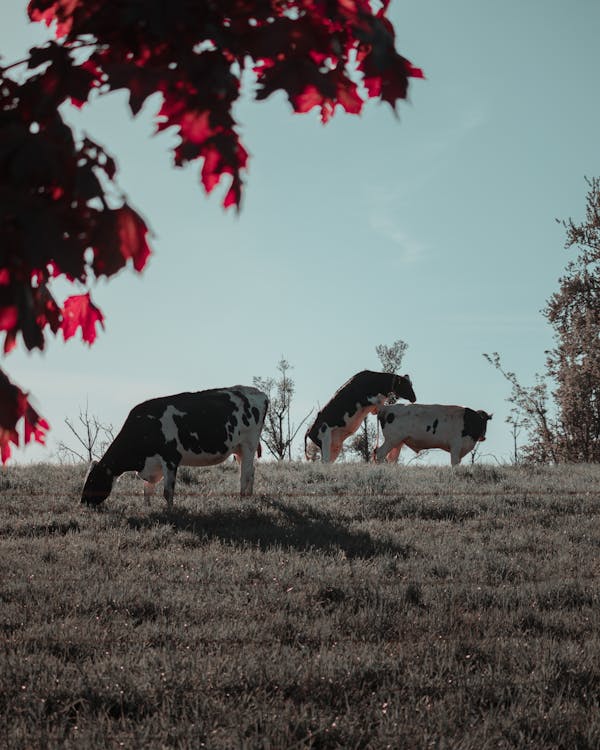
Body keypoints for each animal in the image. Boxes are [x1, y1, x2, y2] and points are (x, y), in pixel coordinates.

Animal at [81, 384, 268, 508]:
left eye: (92, 479)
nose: (82, 502)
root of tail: (257, 392)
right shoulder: (152, 464)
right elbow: (147, 490)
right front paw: (147, 508)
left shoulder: (170, 458)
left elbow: (167, 491)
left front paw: (170, 511)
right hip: (239, 450)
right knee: (251, 471)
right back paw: (250, 497)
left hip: (249, 444)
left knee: (245, 475)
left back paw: (243, 500)